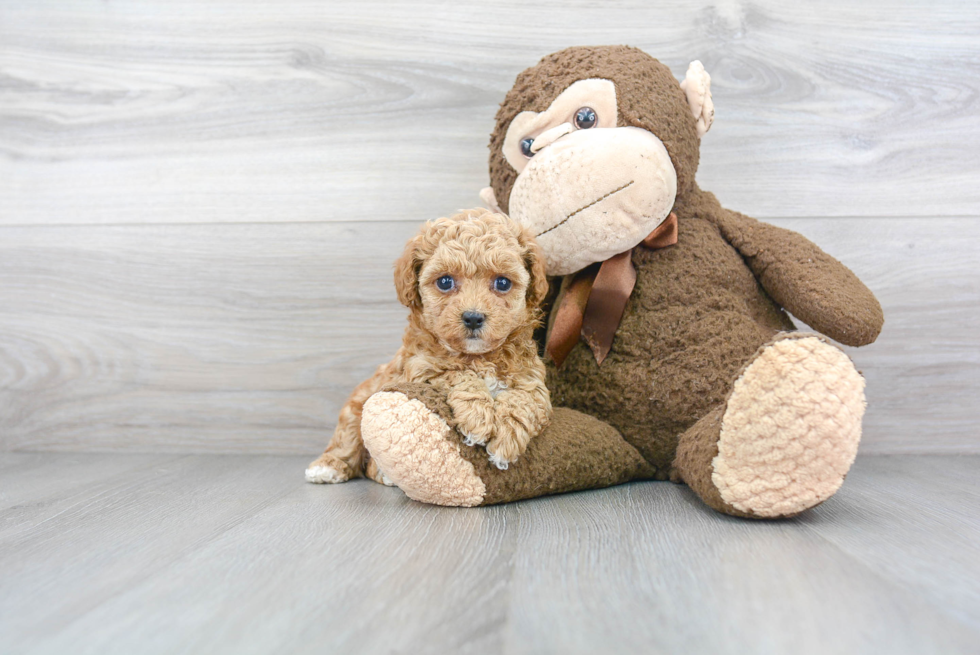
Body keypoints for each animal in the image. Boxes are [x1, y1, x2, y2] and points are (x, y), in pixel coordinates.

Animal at [306, 208, 552, 484]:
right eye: (445, 282)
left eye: (503, 283)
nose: (473, 317)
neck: (478, 357)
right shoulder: (422, 369)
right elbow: (459, 374)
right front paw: (478, 417)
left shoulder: (531, 379)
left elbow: (524, 400)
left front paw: (506, 441)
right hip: (357, 405)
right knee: (348, 441)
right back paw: (328, 467)